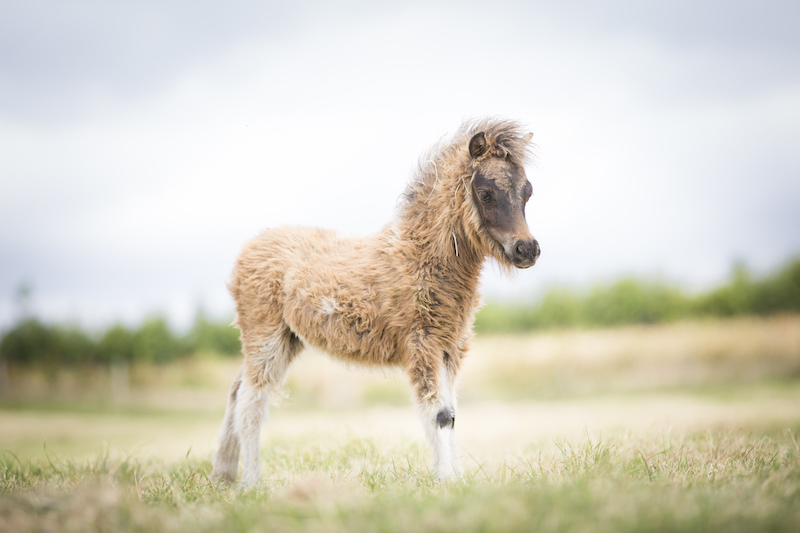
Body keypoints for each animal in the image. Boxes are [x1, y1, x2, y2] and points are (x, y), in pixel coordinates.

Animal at [209, 118, 540, 485]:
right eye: (486, 193)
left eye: (527, 192)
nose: (527, 249)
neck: (420, 256)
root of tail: (249, 248)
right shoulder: (421, 344)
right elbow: (438, 414)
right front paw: (446, 481)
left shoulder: (449, 348)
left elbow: (451, 414)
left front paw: (459, 480)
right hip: (264, 335)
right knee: (251, 401)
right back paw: (251, 482)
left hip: (286, 338)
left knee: (237, 391)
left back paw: (223, 474)